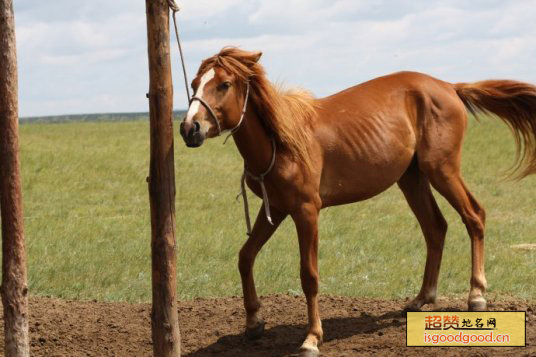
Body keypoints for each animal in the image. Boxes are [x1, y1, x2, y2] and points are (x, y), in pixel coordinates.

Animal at [179, 48, 536, 356]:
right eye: (195, 84)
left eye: (224, 84)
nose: (189, 128)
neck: (281, 142)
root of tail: (449, 86)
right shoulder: (277, 210)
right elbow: (245, 257)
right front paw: (254, 322)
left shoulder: (307, 212)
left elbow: (309, 275)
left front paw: (312, 338)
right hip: (412, 178)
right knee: (435, 227)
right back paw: (422, 299)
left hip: (442, 170)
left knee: (474, 216)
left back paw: (476, 295)